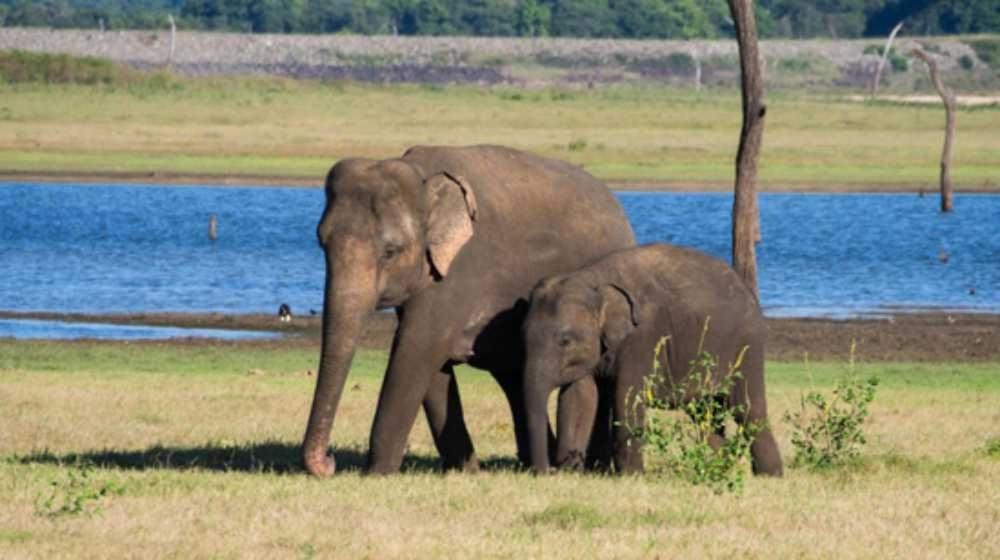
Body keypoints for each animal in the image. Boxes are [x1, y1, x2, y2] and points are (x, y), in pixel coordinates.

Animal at [300, 145, 636, 476]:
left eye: (390, 252)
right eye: (321, 243)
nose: (329, 461)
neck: (422, 175)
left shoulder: (458, 271)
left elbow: (417, 349)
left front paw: (377, 474)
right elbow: (431, 366)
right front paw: (467, 470)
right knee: (515, 377)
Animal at [520, 243, 784, 474]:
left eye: (565, 341)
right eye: (523, 336)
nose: (548, 471)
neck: (592, 278)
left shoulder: (642, 338)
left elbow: (626, 397)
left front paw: (631, 475)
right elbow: (579, 397)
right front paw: (571, 472)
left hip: (747, 346)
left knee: (747, 408)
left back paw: (770, 475)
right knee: (704, 412)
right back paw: (718, 467)